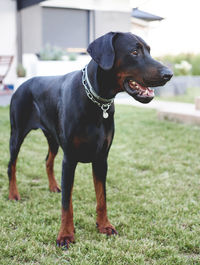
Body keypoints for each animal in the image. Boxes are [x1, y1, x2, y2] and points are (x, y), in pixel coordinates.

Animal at [7, 31, 173, 248]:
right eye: (134, 52)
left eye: (149, 50)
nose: (169, 74)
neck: (97, 101)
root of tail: (22, 84)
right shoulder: (69, 160)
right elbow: (67, 203)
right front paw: (65, 235)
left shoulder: (102, 158)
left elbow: (102, 198)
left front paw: (104, 226)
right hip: (17, 134)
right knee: (12, 165)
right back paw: (13, 194)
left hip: (53, 138)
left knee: (48, 160)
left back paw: (53, 187)